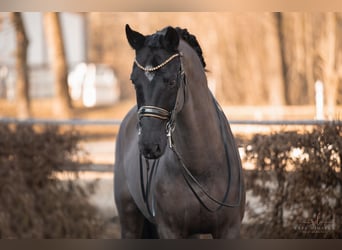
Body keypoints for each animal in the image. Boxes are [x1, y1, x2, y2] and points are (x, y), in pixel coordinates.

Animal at [115, 24, 246, 238]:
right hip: (129, 220)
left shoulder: (229, 230)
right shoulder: (170, 230)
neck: (202, 167)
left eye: (170, 81)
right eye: (134, 81)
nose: (149, 145)